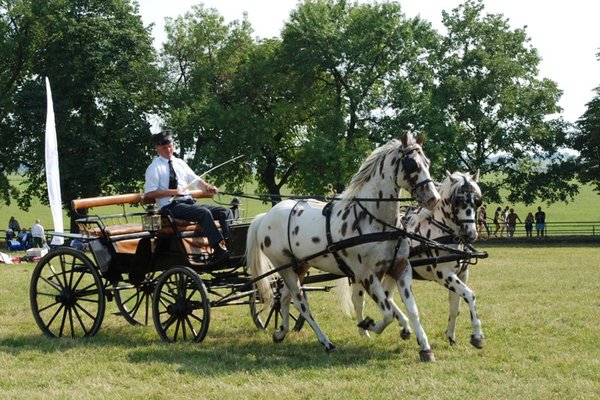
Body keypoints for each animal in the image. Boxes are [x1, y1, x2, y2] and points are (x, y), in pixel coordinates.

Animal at [247, 132, 440, 362]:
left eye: (427, 162)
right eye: (411, 164)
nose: (434, 199)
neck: (376, 222)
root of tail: (265, 216)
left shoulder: (400, 267)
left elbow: (411, 309)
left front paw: (424, 347)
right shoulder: (366, 275)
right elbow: (386, 313)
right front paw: (368, 324)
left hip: (299, 266)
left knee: (284, 298)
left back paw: (281, 332)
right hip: (284, 266)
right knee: (301, 302)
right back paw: (326, 342)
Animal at [350, 170, 486, 348]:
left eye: (477, 201)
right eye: (457, 201)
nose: (471, 234)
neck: (441, 232)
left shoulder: (462, 274)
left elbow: (455, 307)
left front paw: (451, 336)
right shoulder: (444, 275)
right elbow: (470, 295)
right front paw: (477, 335)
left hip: (393, 272)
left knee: (387, 296)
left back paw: (404, 326)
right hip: (362, 275)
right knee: (358, 300)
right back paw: (364, 332)